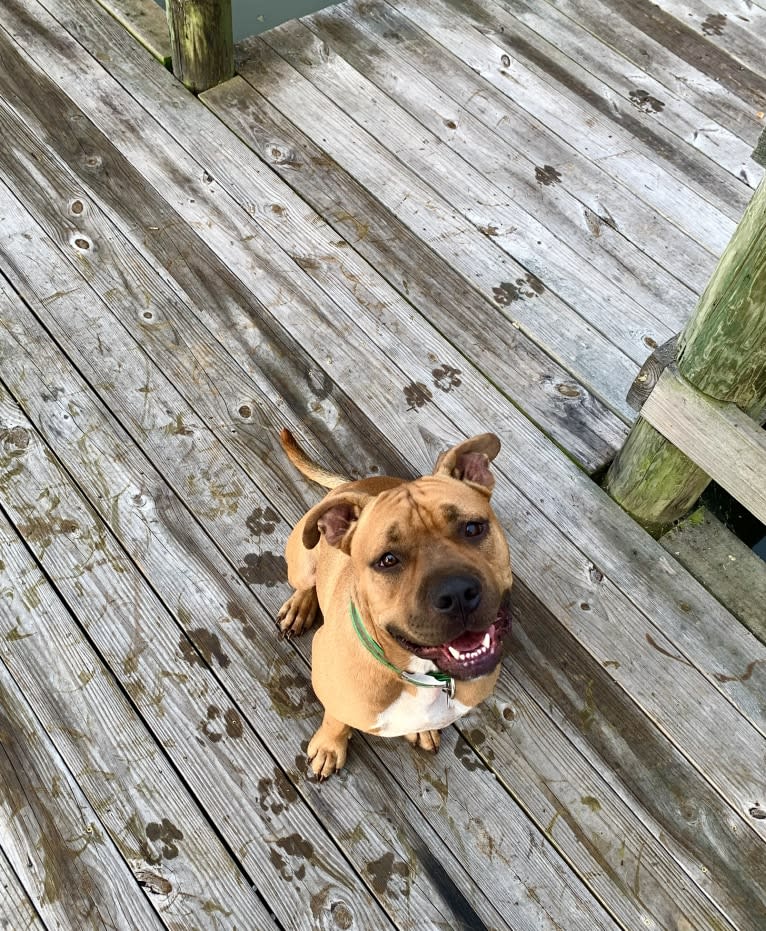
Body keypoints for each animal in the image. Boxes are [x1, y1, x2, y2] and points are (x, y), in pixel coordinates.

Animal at [278, 430, 516, 780]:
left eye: (473, 528)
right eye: (388, 560)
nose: (457, 592)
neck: (421, 676)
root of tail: (351, 485)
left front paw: (421, 729)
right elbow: (336, 718)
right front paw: (329, 746)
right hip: (301, 561)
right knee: (306, 582)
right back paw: (299, 607)